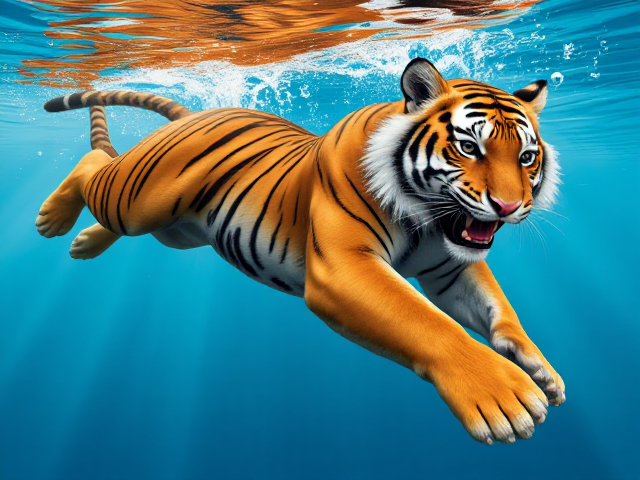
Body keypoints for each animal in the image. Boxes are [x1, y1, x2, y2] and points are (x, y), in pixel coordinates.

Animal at [36, 58, 565, 444]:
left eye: (526, 157)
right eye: (469, 148)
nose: (509, 206)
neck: (428, 220)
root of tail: (197, 113)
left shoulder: (449, 268)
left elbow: (499, 312)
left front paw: (541, 370)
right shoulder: (344, 268)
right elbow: (429, 324)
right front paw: (502, 393)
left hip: (179, 229)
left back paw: (83, 244)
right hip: (136, 199)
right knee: (92, 168)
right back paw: (52, 220)